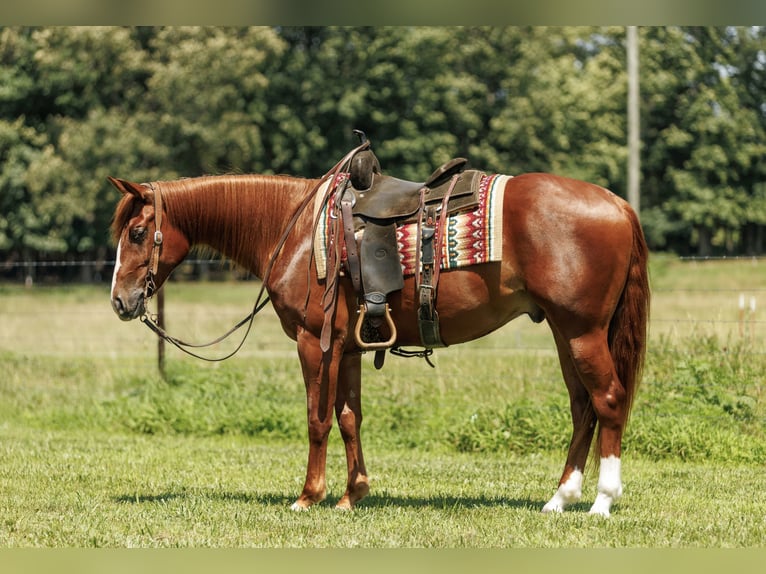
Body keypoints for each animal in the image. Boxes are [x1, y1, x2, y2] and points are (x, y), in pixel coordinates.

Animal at [108, 159, 649, 517]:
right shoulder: (347, 349)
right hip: (564, 331)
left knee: (607, 399)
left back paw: (602, 501)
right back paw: (560, 498)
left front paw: (309, 496)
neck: (297, 229)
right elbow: (350, 418)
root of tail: (618, 204)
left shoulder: (314, 343)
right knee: (582, 407)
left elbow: (317, 419)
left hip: (582, 331)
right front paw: (353, 494)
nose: (120, 301)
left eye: (136, 232)